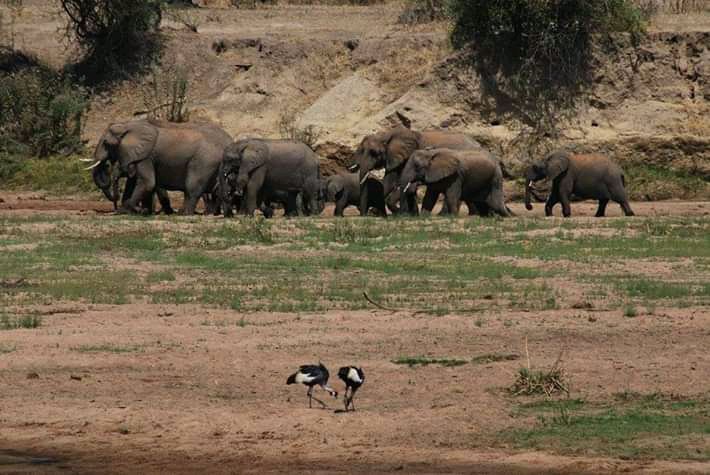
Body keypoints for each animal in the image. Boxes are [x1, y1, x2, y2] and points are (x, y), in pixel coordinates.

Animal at [85, 118, 233, 215]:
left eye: (106, 143)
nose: (106, 165)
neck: (127, 125)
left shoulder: (146, 157)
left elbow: (148, 183)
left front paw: (132, 210)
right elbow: (133, 183)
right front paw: (134, 211)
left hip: (204, 161)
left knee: (192, 187)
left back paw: (184, 213)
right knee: (216, 189)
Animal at [351, 125, 481, 216]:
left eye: (374, 153)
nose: (363, 213)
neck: (386, 134)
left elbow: (402, 183)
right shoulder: (394, 157)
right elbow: (389, 181)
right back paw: (473, 214)